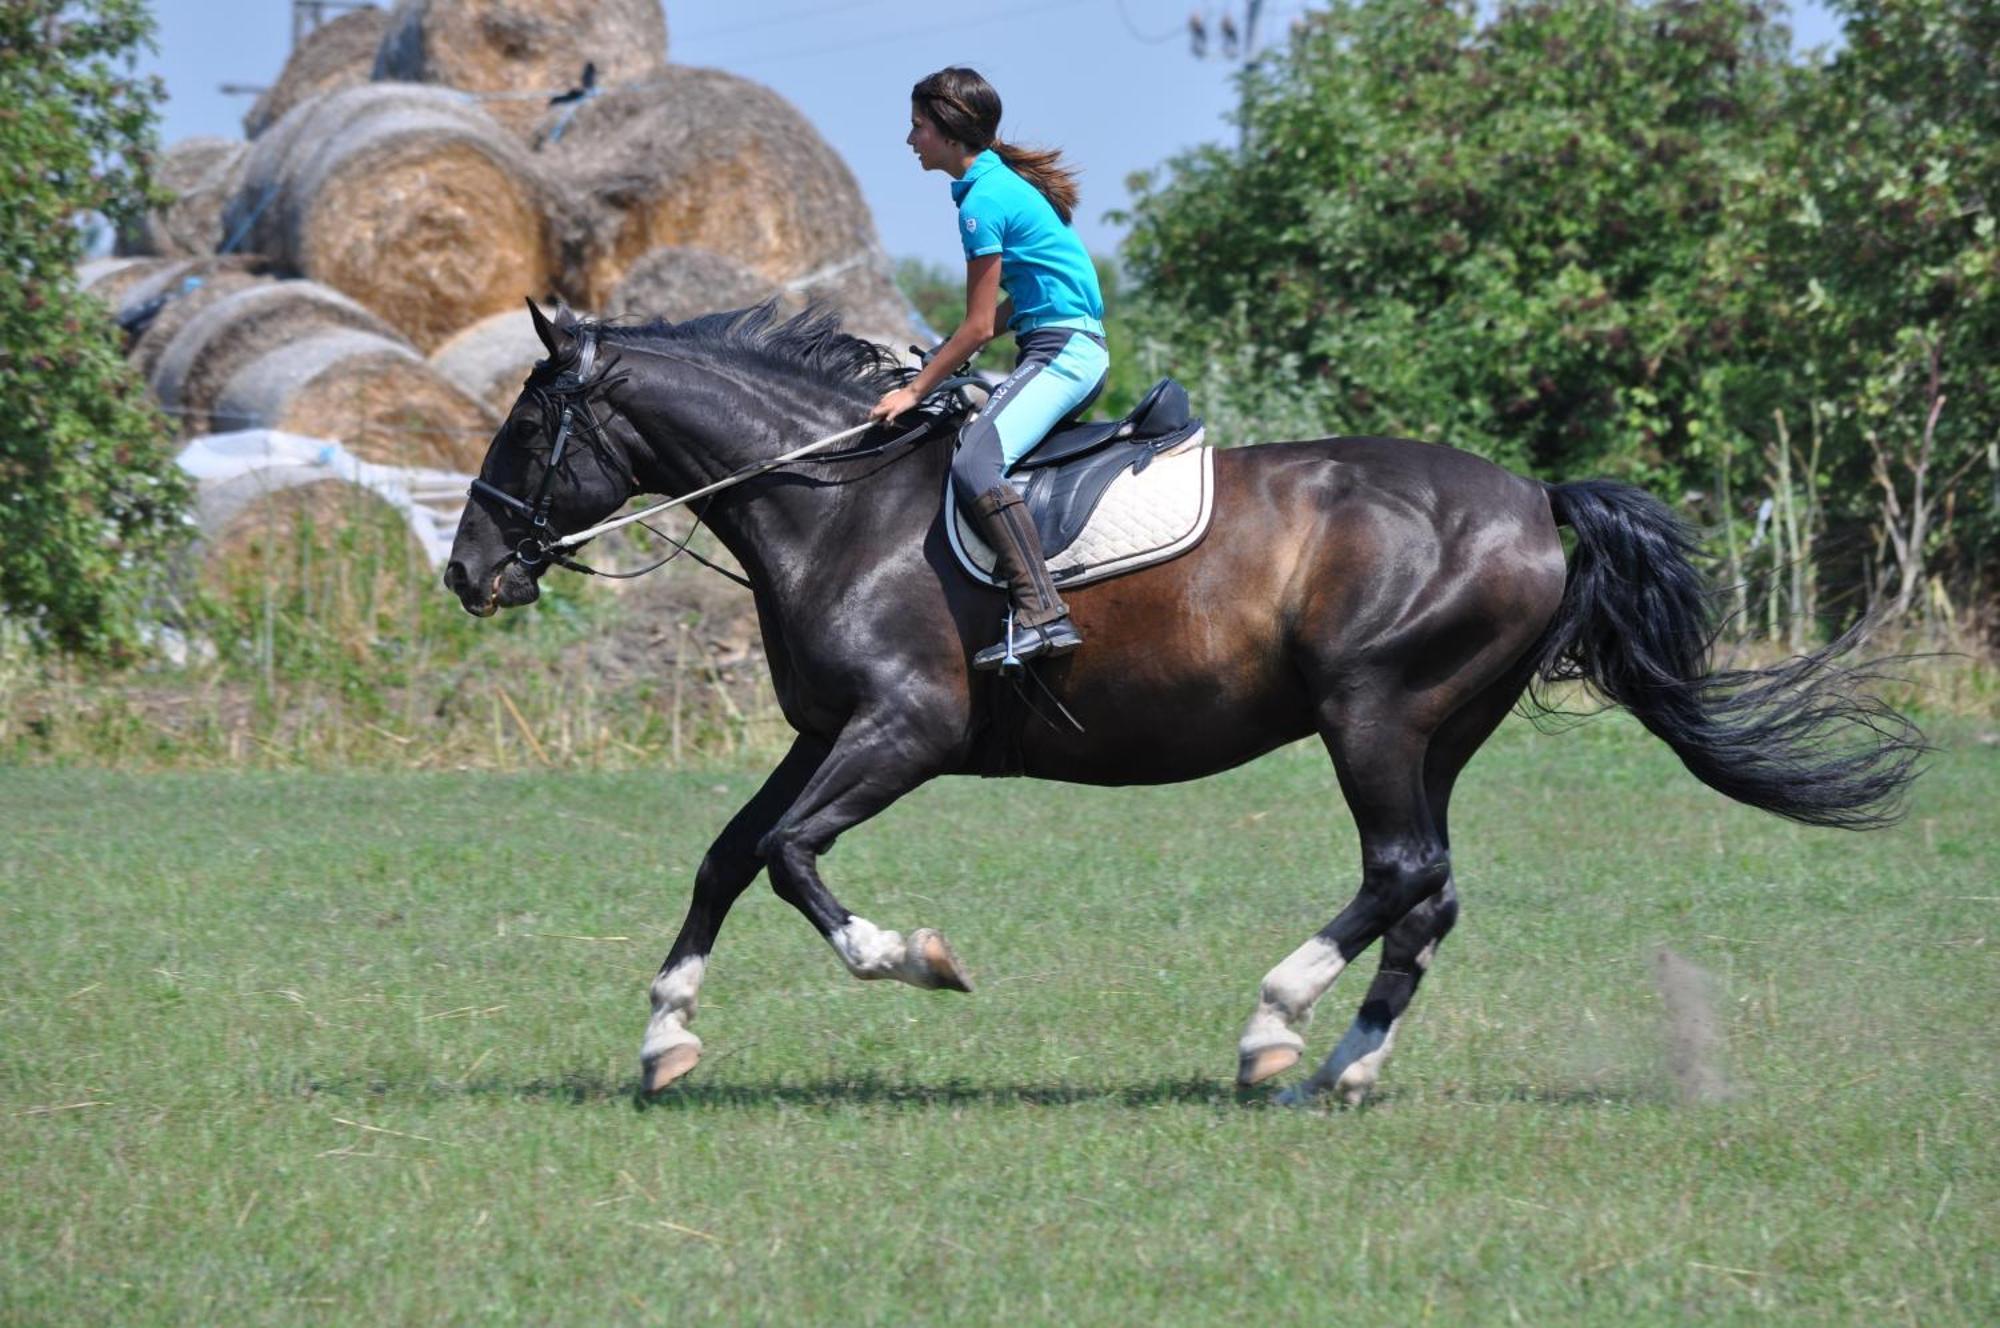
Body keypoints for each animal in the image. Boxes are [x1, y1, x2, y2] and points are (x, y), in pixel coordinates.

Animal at [442, 306, 1920, 1104]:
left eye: (525, 427)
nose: (467, 572)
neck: (835, 507)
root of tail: (1532, 497)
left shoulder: (905, 730)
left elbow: (798, 857)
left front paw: (913, 957)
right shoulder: (826, 731)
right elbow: (730, 855)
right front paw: (665, 1037)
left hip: (1372, 709)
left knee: (1399, 869)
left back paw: (1274, 1025)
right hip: (1439, 728)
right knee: (1429, 891)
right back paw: (1341, 1069)